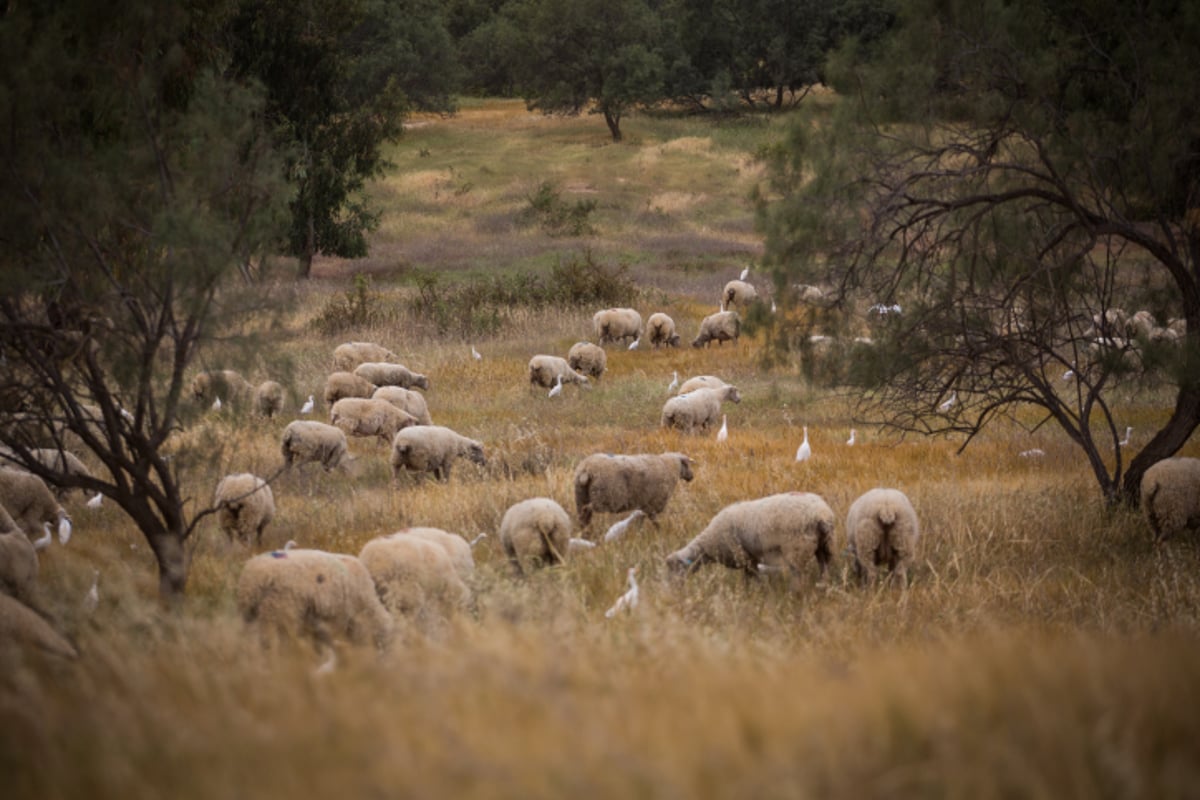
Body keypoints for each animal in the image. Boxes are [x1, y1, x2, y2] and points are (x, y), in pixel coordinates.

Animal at [667, 489, 835, 587]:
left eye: (676, 568)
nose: (672, 589)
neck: (707, 544)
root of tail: (822, 514)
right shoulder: (750, 558)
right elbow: (750, 577)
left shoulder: (742, 557)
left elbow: (750, 579)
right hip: (825, 546)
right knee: (825, 567)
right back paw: (822, 585)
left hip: (796, 548)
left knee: (799, 578)